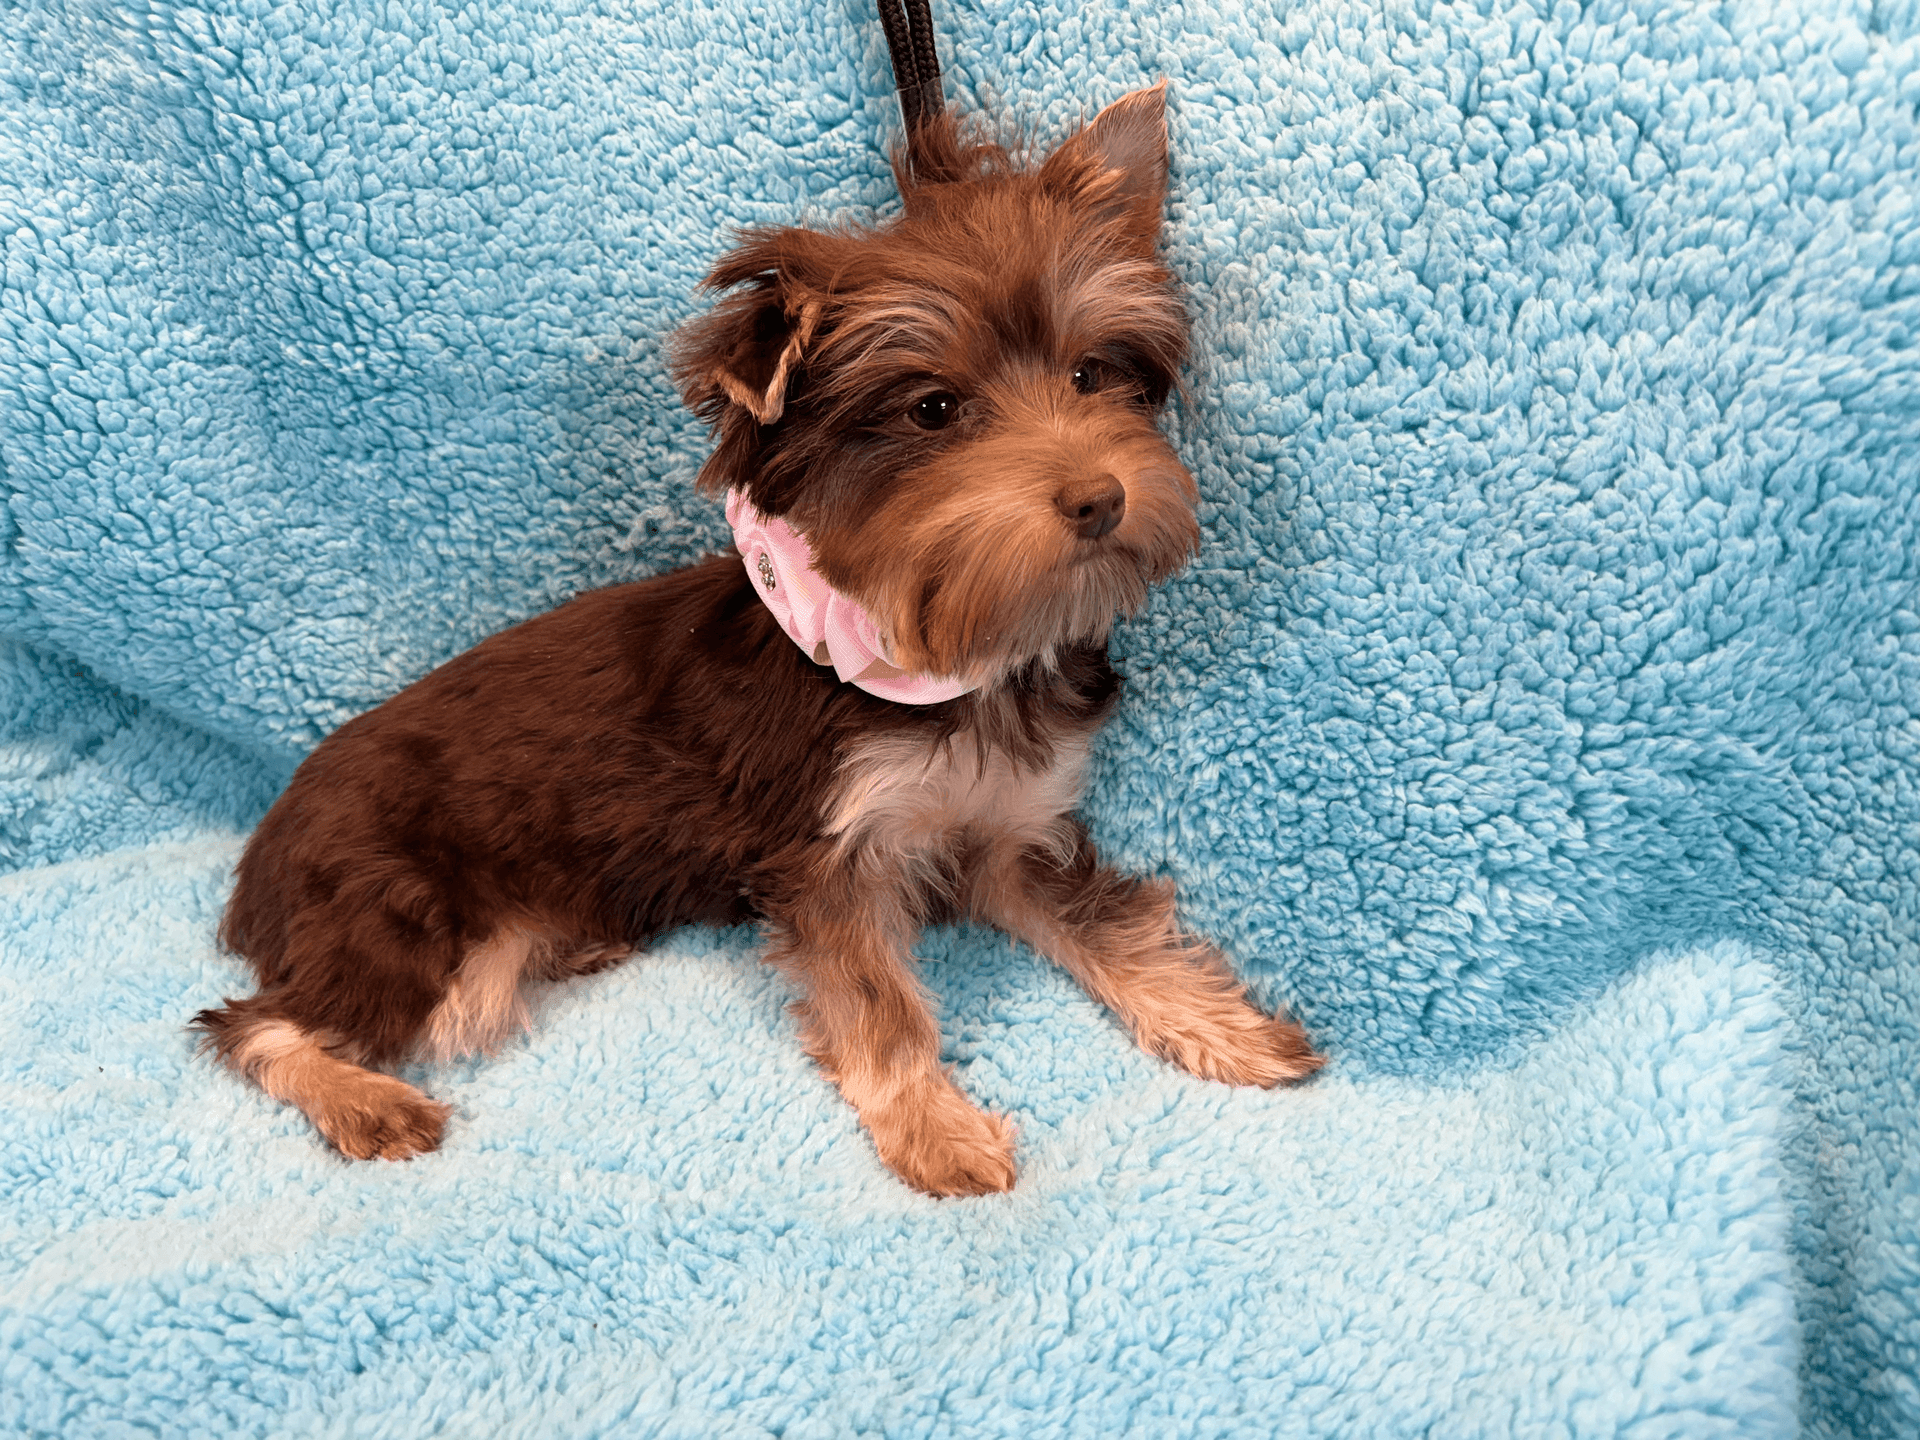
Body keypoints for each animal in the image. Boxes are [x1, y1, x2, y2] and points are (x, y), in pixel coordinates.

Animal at [194, 84, 1320, 1198]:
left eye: (1093, 375)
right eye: (934, 409)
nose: (1100, 496)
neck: (943, 652)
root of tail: (267, 848)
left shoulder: (1010, 827)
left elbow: (1099, 920)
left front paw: (1219, 1024)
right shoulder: (825, 852)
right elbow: (873, 994)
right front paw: (932, 1127)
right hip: (389, 902)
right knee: (260, 1021)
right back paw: (362, 1098)